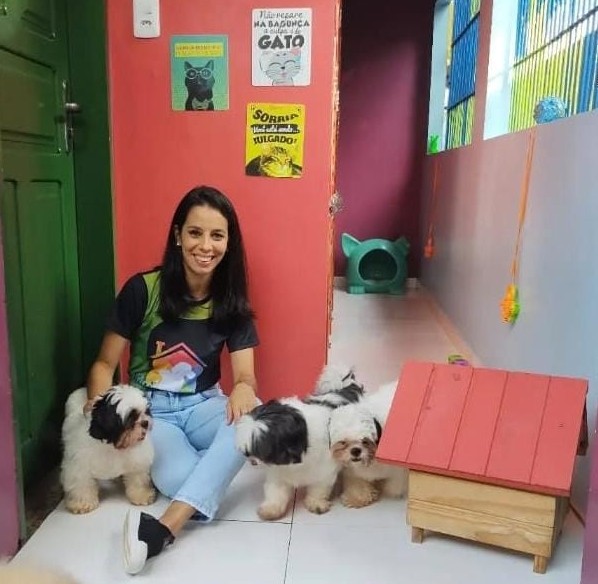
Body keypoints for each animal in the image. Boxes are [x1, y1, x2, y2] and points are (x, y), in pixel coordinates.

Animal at [60, 385, 156, 514]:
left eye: (145, 411)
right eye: (131, 417)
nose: (145, 422)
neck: (112, 447)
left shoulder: (137, 462)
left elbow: (137, 479)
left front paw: (142, 495)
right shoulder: (79, 466)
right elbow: (81, 484)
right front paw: (83, 503)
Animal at [235, 364, 364, 521]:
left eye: (263, 450)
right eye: (248, 451)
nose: (251, 459)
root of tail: (348, 385)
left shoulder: (323, 471)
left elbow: (318, 489)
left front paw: (316, 503)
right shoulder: (277, 473)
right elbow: (275, 492)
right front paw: (271, 509)